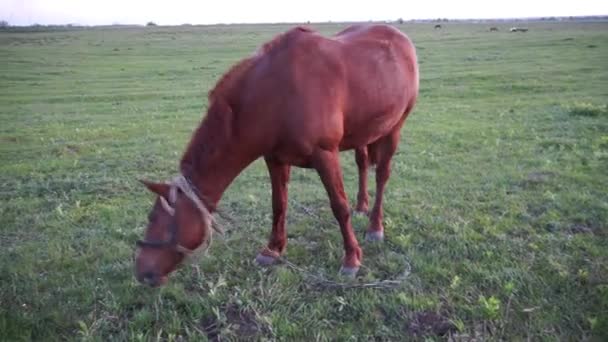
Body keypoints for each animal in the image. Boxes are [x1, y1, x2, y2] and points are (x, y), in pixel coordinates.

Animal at [134, 23, 418, 286]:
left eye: (154, 218)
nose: (141, 271)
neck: (277, 94)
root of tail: (399, 37)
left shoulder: (325, 155)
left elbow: (339, 206)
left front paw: (351, 260)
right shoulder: (275, 159)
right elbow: (278, 204)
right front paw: (272, 251)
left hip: (394, 129)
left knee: (382, 175)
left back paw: (375, 227)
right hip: (364, 133)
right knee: (362, 164)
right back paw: (362, 206)